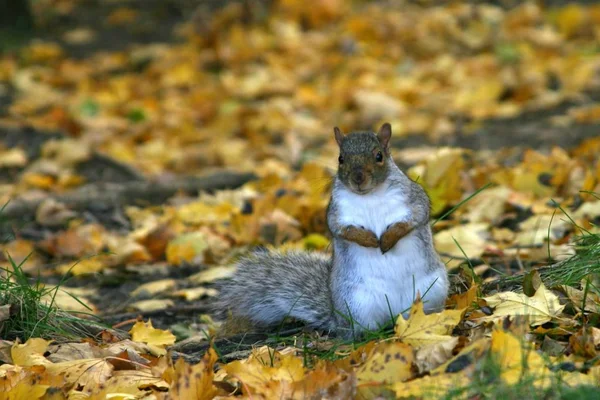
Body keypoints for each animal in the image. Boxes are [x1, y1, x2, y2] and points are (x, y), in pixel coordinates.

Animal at [218, 122, 448, 338]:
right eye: (341, 159)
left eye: (379, 156)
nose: (358, 178)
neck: (370, 196)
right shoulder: (337, 214)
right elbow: (343, 230)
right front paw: (368, 240)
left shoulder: (414, 200)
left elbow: (413, 219)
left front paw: (388, 238)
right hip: (357, 303)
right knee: (363, 329)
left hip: (432, 290)